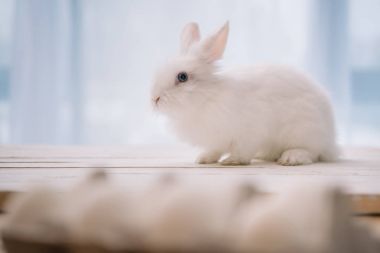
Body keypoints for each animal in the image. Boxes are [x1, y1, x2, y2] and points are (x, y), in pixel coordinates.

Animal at [151, 21, 338, 166]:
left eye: (182, 77)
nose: (154, 99)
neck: (208, 97)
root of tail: (330, 138)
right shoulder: (217, 138)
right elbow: (215, 150)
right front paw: (203, 159)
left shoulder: (249, 131)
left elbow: (243, 150)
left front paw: (232, 161)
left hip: (304, 130)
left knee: (311, 152)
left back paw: (290, 158)